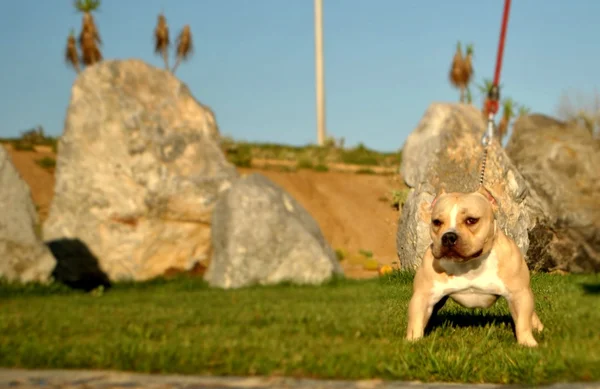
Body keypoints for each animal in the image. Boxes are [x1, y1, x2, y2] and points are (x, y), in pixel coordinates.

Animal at [406, 185, 540, 346]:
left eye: (471, 220)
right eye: (437, 222)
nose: (448, 236)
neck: (469, 264)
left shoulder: (519, 293)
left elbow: (522, 322)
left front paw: (527, 343)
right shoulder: (423, 295)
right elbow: (416, 321)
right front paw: (413, 341)